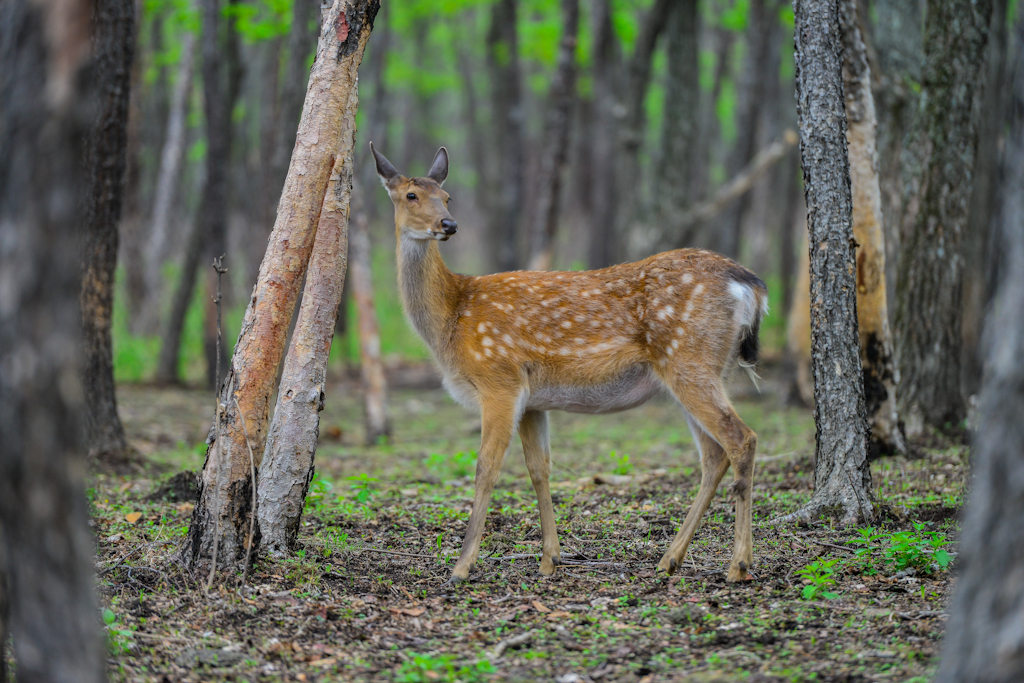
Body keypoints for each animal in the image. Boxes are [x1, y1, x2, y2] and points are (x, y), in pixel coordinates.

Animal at [372, 143, 765, 581]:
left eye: (447, 196)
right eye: (411, 195)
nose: (448, 224)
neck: (451, 318)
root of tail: (747, 283)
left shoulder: (499, 379)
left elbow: (486, 468)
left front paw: (462, 565)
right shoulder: (532, 399)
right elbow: (539, 468)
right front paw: (550, 559)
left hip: (690, 359)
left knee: (741, 439)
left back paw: (739, 564)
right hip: (701, 370)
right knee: (713, 454)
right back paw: (670, 558)